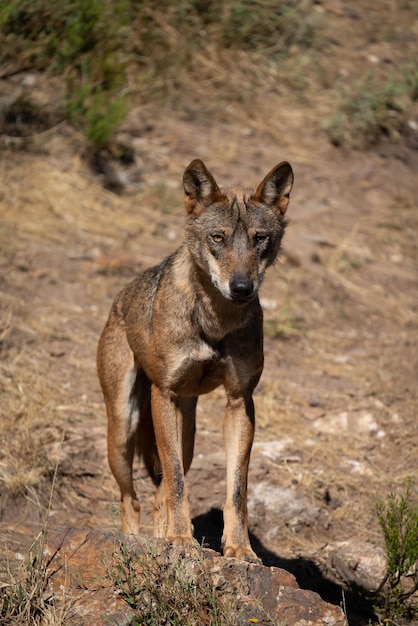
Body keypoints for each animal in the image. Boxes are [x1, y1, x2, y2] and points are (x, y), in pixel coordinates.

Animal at [97, 157, 294, 560]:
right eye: (217, 238)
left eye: (259, 238)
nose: (242, 287)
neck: (216, 321)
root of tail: (119, 299)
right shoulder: (164, 392)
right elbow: (176, 483)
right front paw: (180, 540)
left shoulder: (240, 401)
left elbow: (236, 491)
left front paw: (239, 548)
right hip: (124, 428)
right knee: (132, 499)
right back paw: (137, 542)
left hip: (185, 432)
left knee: (159, 497)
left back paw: (161, 537)